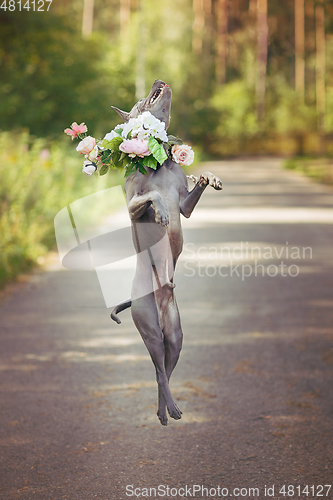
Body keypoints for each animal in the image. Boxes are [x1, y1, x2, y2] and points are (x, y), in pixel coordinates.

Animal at [110, 80, 222, 424]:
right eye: (141, 99)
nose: (159, 81)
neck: (156, 161)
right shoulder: (132, 205)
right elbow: (152, 198)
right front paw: (160, 212)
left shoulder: (184, 204)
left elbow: (190, 190)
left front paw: (210, 176)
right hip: (148, 327)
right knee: (158, 370)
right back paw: (168, 408)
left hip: (175, 334)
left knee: (165, 373)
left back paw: (165, 410)